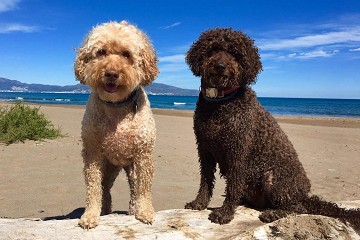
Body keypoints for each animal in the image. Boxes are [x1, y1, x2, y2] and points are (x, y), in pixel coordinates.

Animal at [74, 20, 158, 229]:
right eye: (101, 52)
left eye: (126, 54)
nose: (111, 74)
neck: (116, 105)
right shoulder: (93, 153)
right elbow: (94, 187)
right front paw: (90, 215)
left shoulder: (144, 153)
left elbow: (144, 188)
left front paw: (145, 211)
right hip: (109, 167)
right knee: (104, 188)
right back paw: (104, 210)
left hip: (131, 168)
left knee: (134, 188)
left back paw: (134, 209)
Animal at [186, 27, 360, 232]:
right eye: (213, 49)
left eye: (235, 54)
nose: (220, 65)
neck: (220, 102)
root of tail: (305, 194)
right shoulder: (204, 149)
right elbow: (205, 180)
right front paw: (199, 203)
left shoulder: (237, 151)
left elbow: (233, 185)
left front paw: (225, 213)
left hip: (273, 180)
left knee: (297, 208)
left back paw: (273, 213)